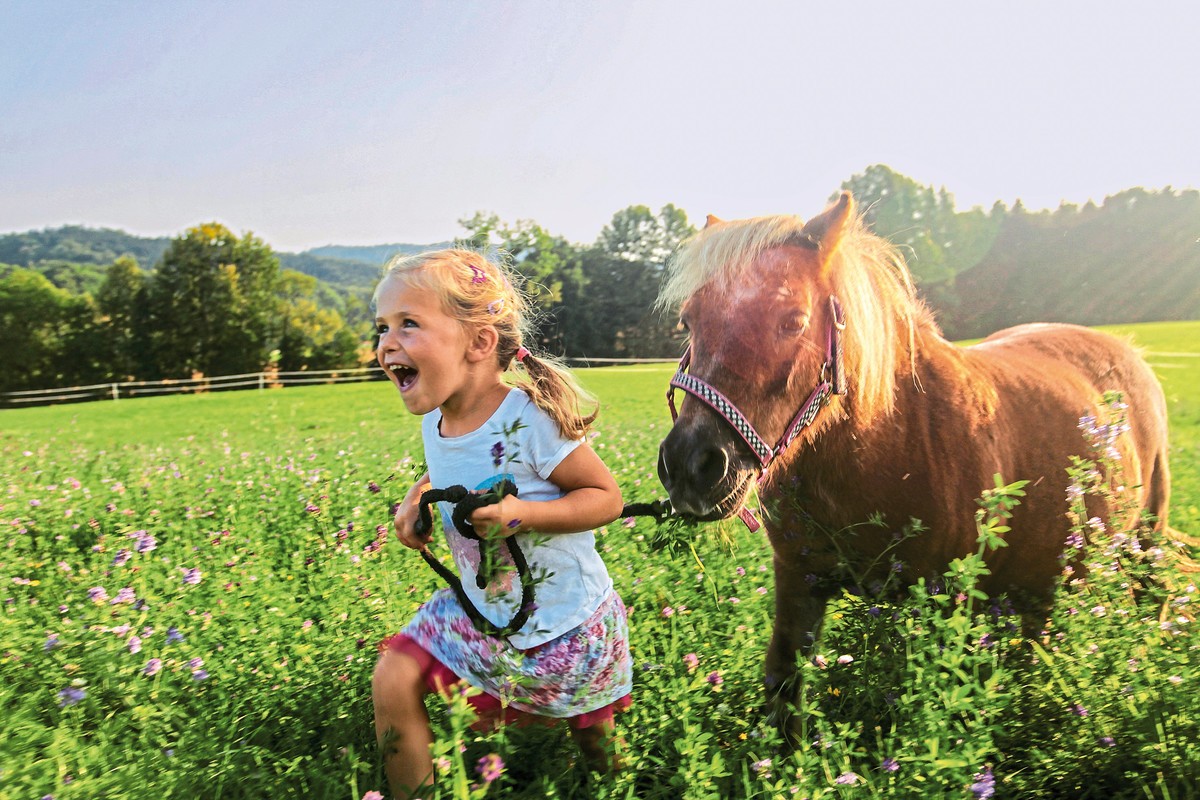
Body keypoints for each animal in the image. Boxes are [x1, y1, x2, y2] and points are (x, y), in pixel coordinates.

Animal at [657, 190, 1171, 734]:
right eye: (688, 321)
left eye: (793, 320)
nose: (691, 465)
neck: (886, 444)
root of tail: (1128, 353)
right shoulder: (799, 579)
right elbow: (784, 686)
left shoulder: (949, 604)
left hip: (1145, 538)